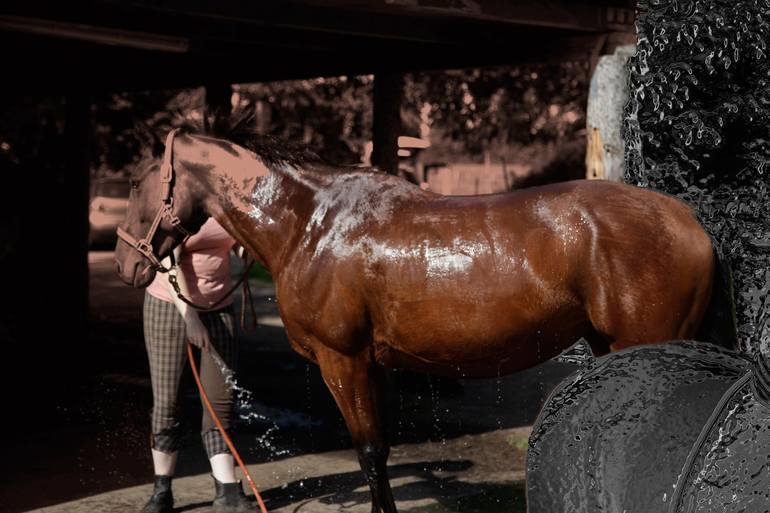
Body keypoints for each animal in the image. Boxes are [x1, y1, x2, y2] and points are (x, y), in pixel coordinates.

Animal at [115, 131, 732, 512]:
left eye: (135, 183)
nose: (126, 264)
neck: (311, 225)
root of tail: (689, 223)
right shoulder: (373, 365)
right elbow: (380, 452)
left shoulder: (344, 362)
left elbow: (369, 453)